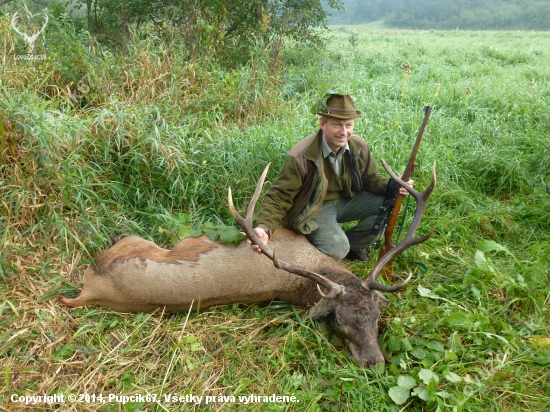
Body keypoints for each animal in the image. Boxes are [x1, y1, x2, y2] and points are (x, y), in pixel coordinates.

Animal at [60, 159, 438, 366]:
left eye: (376, 317)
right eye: (343, 321)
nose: (374, 362)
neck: (313, 269)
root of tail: (89, 291)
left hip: (138, 244)